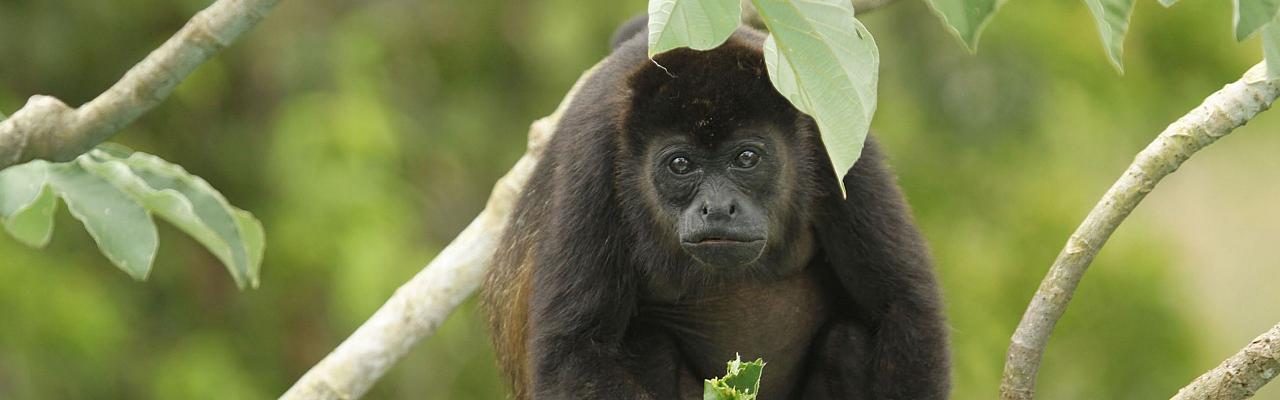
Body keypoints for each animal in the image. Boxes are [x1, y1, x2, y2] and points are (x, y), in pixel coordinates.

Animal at [483, 16, 947, 400]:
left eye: (746, 158)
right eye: (680, 164)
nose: (719, 207)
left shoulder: (834, 142)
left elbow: (903, 306)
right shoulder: (591, 159)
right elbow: (575, 352)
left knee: (848, 338)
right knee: (646, 343)